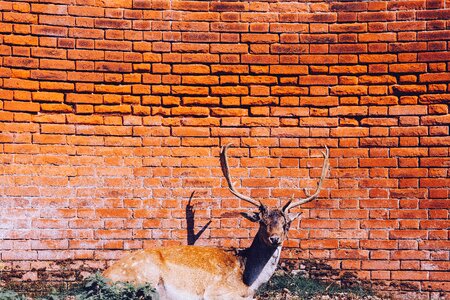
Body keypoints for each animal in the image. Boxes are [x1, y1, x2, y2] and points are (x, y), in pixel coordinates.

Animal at [103, 144, 330, 298]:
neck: (248, 283)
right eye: (262, 222)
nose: (275, 238)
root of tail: (104, 276)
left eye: (286, 224)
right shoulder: (216, 291)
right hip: (146, 278)